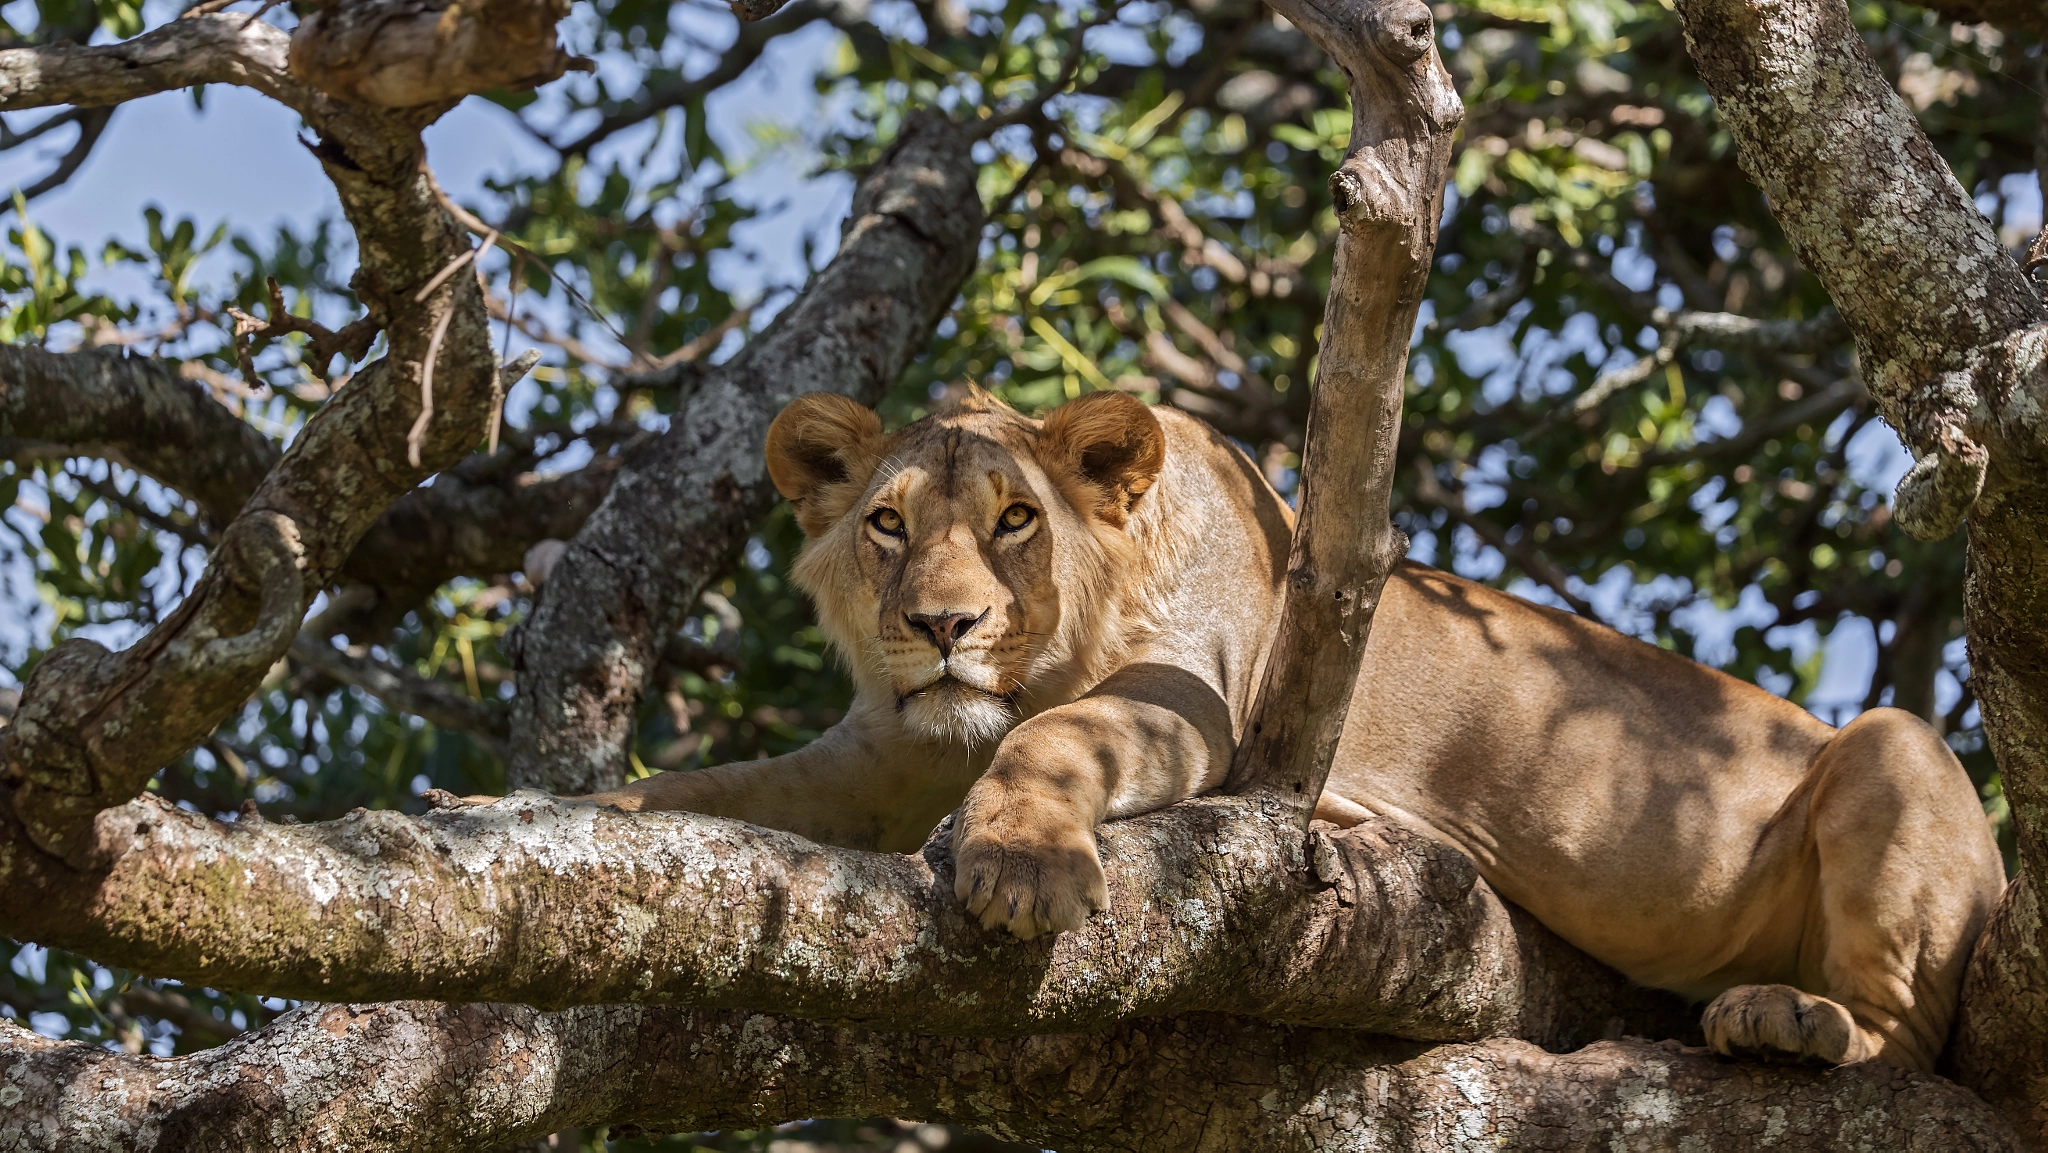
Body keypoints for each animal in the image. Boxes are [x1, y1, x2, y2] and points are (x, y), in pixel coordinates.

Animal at [573, 387, 1998, 1073]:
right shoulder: (881, 751)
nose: (941, 624)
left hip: (1893, 744)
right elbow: (721, 786)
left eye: (1015, 519)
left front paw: (1022, 863)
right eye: (886, 523)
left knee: (1902, 1039)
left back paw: (1790, 1022)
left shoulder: (1190, 706)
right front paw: (555, 811)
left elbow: (1056, 741)